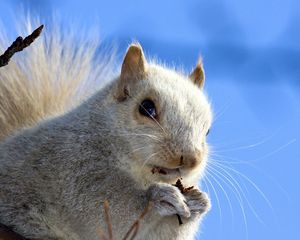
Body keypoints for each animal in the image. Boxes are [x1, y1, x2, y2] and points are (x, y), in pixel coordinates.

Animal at [0, 21, 212, 239]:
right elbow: (100, 208)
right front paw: (157, 198)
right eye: (146, 108)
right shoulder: (73, 165)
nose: (190, 160)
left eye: (207, 131)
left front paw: (198, 203)